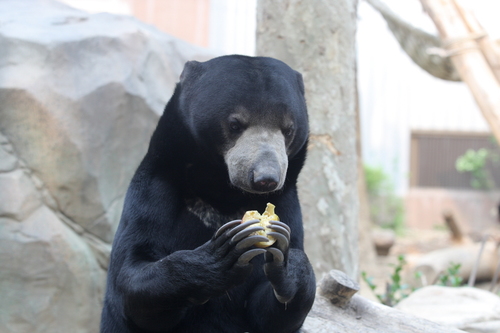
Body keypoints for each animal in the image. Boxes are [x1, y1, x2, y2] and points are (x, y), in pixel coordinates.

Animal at [99, 55, 314, 332]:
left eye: (288, 130)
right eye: (235, 124)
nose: (266, 178)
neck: (224, 193)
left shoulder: (287, 203)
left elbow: (267, 311)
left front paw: (285, 260)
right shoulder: (155, 187)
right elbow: (131, 278)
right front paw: (224, 253)